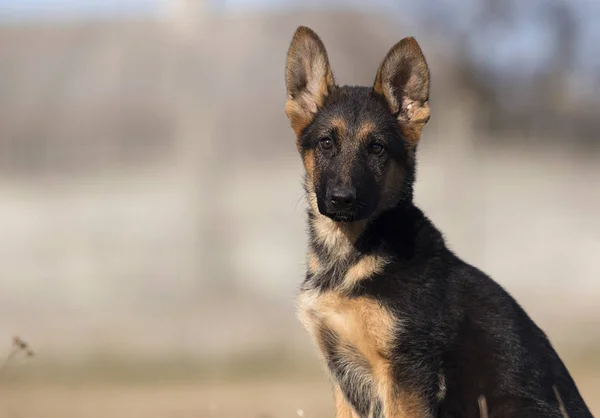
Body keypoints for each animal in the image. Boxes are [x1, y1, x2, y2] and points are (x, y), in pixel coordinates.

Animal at [284, 27, 592, 418]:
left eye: (377, 148)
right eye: (326, 143)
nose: (342, 199)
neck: (351, 255)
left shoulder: (406, 371)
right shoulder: (342, 376)